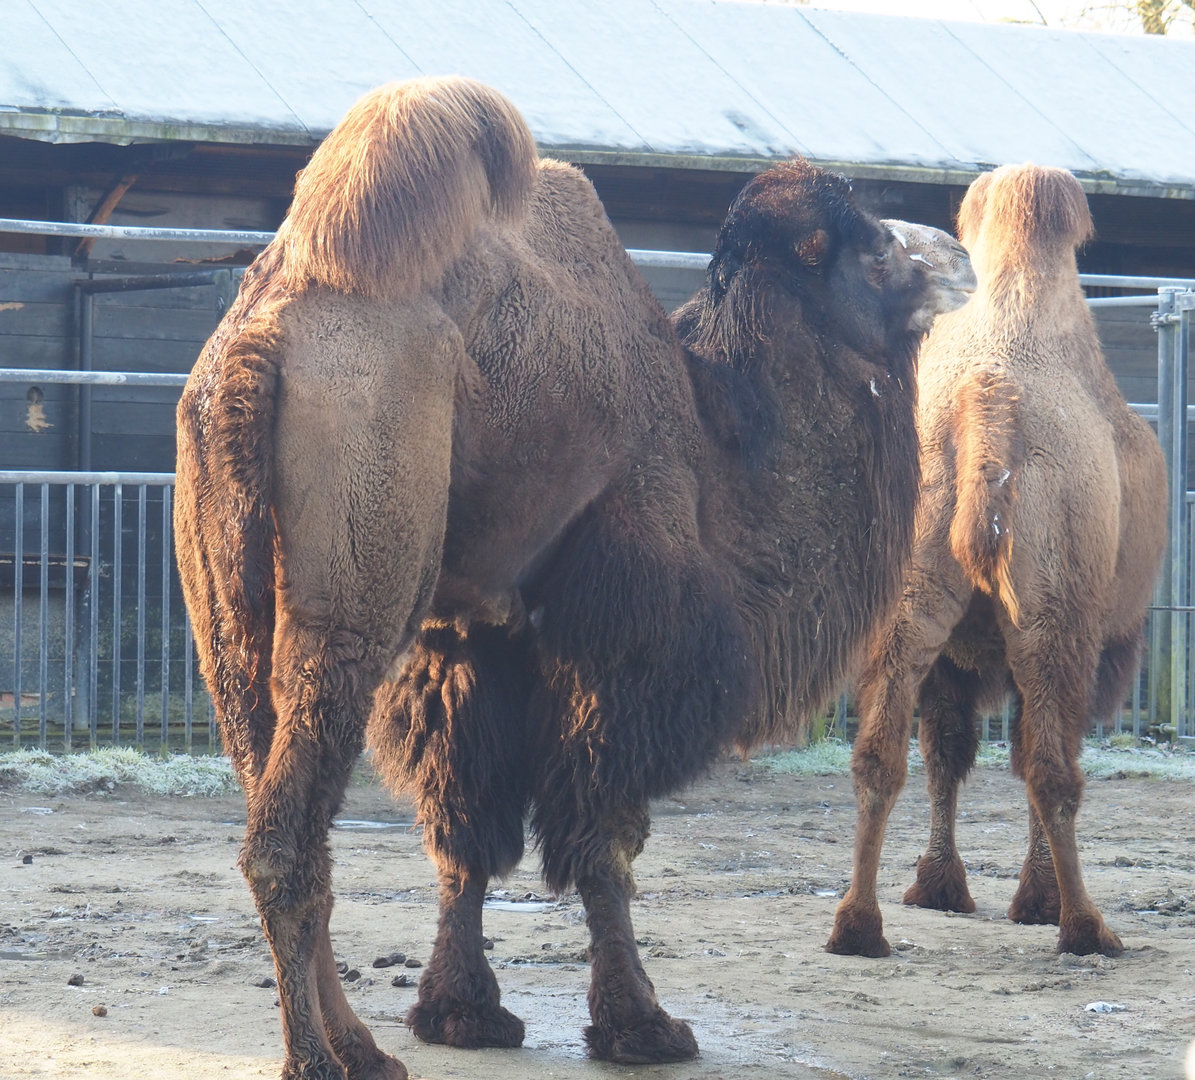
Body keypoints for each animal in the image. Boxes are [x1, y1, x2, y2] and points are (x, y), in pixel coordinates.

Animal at [173, 76, 975, 1080]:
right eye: (873, 247)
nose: (958, 254)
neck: (716, 442)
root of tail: (263, 337)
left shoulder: (466, 636)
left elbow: (464, 832)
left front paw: (462, 1013)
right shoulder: (627, 630)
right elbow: (605, 837)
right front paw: (643, 1025)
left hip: (229, 613)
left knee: (269, 778)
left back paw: (364, 1046)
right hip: (354, 589)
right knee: (287, 834)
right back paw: (318, 1058)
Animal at [826, 163, 1167, 962]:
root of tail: (983, 412)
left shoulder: (954, 652)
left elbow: (947, 751)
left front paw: (938, 889)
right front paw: (1028, 901)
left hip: (907, 604)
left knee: (879, 753)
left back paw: (859, 924)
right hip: (1055, 620)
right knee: (1050, 765)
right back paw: (1083, 926)